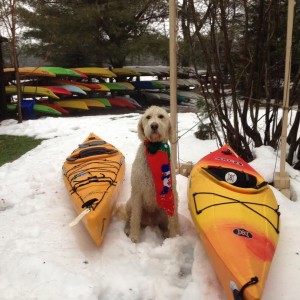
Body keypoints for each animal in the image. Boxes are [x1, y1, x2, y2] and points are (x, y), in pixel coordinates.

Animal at [123, 105, 178, 241]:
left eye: (161, 116)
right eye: (148, 117)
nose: (154, 125)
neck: (154, 149)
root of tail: (150, 221)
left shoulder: (173, 193)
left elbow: (173, 219)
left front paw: (175, 237)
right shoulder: (137, 192)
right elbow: (135, 218)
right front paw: (134, 236)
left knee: (164, 223)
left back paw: (166, 232)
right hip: (129, 203)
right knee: (130, 218)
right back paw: (128, 229)